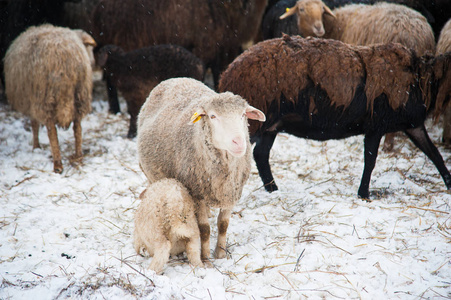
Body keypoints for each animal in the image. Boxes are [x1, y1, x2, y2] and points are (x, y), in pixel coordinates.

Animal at [3, 24, 96, 175]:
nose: (93, 62)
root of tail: (65, 59)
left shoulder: (32, 101)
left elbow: (34, 125)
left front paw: (36, 147)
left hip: (45, 98)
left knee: (52, 131)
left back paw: (57, 164)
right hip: (80, 95)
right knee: (77, 128)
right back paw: (78, 157)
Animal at [136, 77, 266, 262]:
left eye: (243, 115)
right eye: (213, 116)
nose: (239, 142)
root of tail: (176, 78)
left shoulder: (231, 192)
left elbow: (223, 225)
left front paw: (220, 253)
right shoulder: (197, 194)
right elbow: (204, 229)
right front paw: (206, 258)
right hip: (151, 175)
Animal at [218, 35, 451, 199]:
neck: (421, 80)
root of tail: (226, 75)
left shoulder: (414, 125)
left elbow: (435, 154)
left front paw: (449, 183)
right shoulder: (376, 125)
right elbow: (370, 160)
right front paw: (364, 194)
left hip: (270, 125)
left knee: (261, 155)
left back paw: (273, 190)